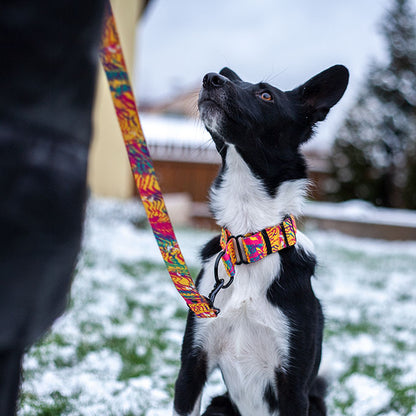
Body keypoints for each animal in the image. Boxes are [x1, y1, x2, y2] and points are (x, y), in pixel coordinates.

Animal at [172, 65, 348, 416]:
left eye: (266, 95)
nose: (211, 78)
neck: (248, 240)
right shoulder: (191, 368)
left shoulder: (293, 387)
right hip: (219, 404)